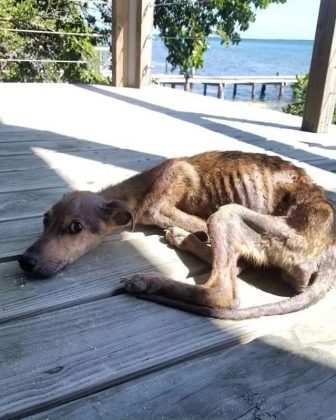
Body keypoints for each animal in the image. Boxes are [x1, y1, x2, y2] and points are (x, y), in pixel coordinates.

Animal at [18, 151, 336, 318]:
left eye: (75, 227)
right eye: (45, 220)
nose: (25, 261)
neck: (141, 187)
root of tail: (329, 245)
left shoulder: (160, 206)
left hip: (228, 214)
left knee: (223, 290)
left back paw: (152, 274)